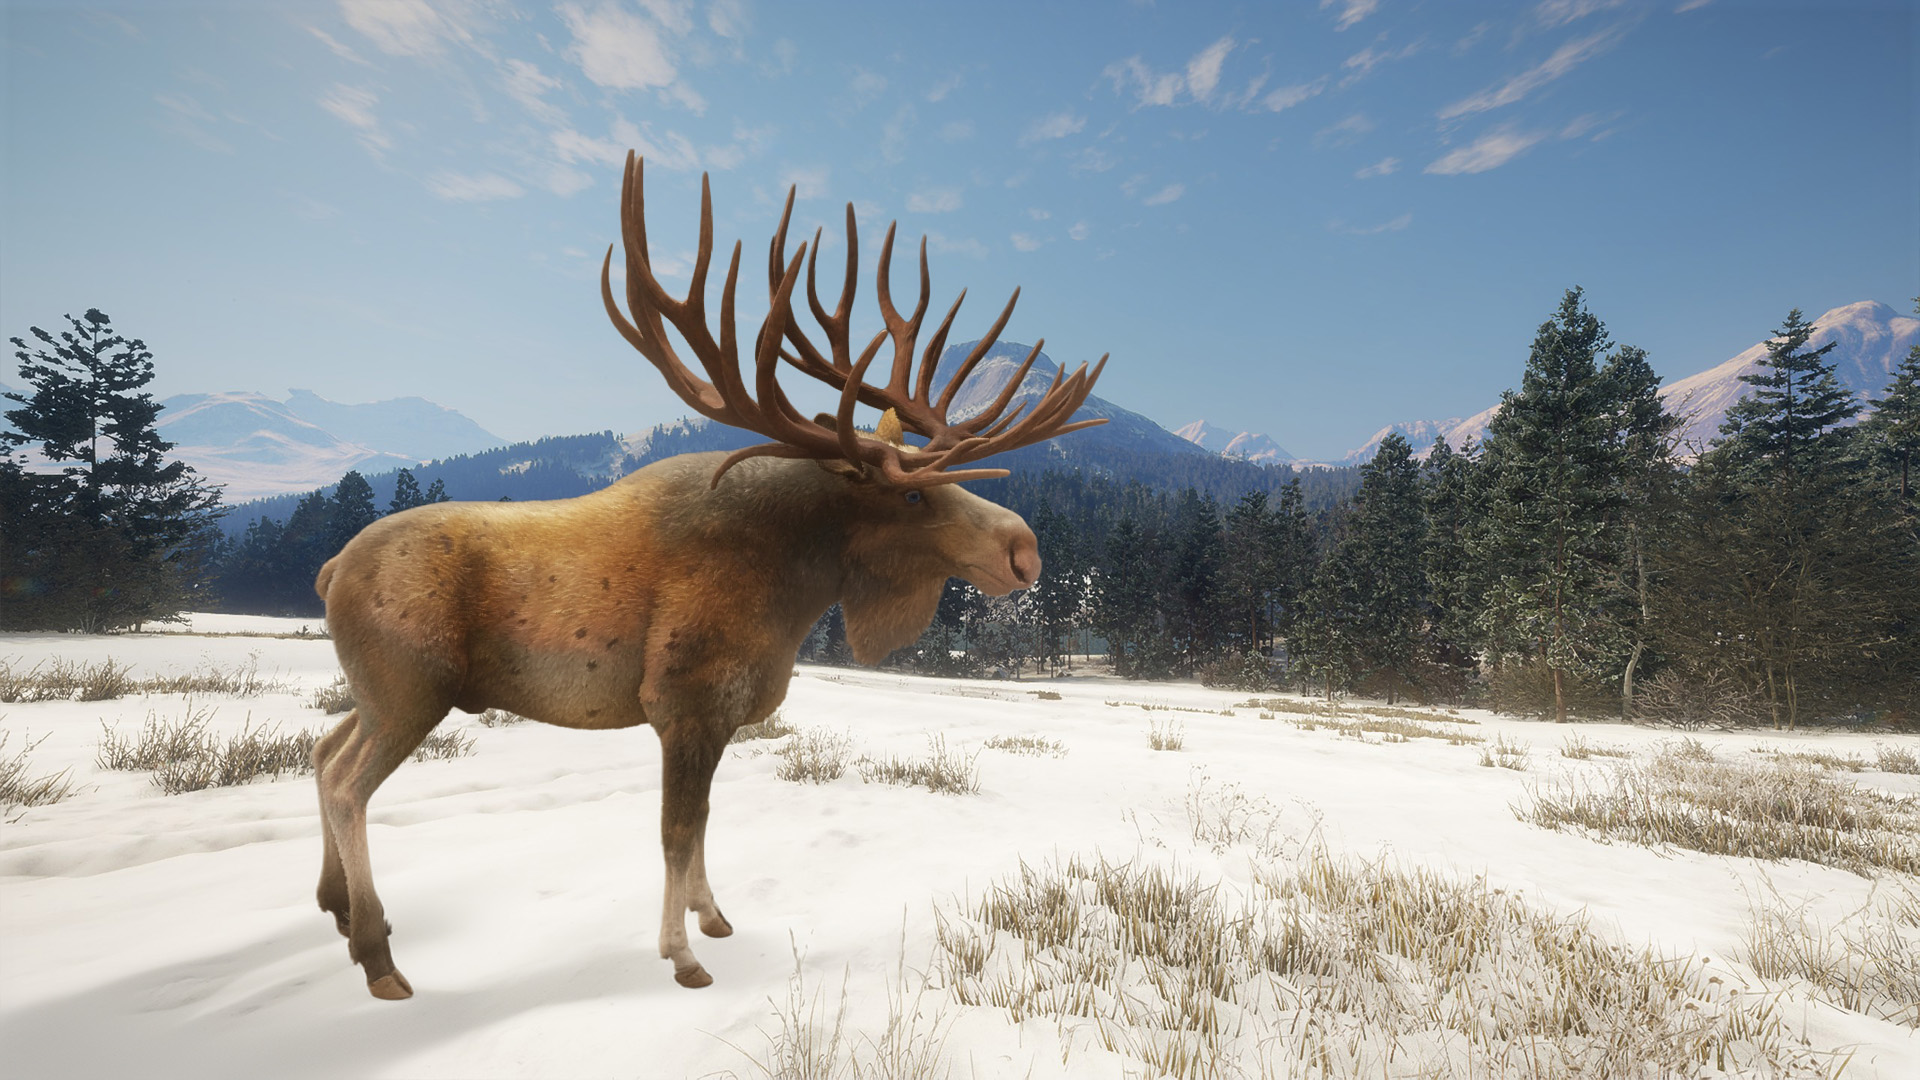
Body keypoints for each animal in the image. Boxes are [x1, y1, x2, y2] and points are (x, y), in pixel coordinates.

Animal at [310, 152, 1108, 1000]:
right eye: (914, 493)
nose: (1024, 547)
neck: (794, 590)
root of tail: (329, 569)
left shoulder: (719, 715)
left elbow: (703, 825)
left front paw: (713, 916)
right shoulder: (683, 702)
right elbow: (675, 829)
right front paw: (682, 956)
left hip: (377, 690)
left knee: (323, 754)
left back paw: (340, 911)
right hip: (410, 685)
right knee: (350, 783)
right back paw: (378, 956)